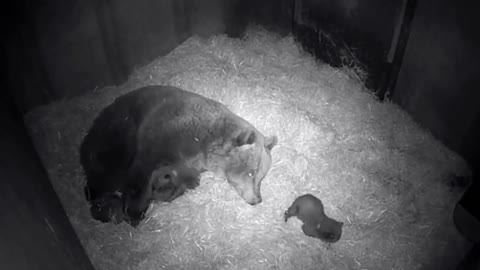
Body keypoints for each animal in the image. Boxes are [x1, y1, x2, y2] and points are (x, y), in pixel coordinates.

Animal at [80, 85, 278, 225]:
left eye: (261, 177)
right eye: (251, 173)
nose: (257, 199)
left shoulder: (188, 162)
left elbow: (184, 179)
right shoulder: (163, 135)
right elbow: (141, 171)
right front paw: (134, 212)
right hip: (117, 135)